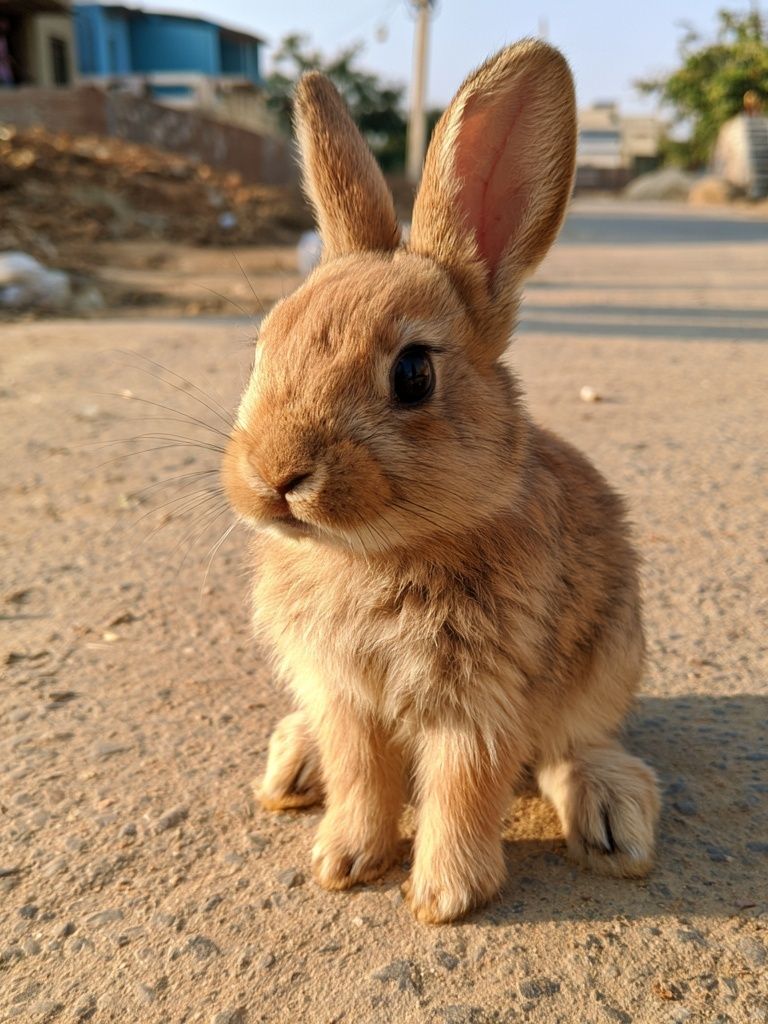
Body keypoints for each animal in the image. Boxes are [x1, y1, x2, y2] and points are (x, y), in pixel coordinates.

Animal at [222, 39, 660, 924]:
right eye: (263, 344)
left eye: (414, 374)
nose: (274, 476)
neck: (373, 553)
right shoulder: (345, 694)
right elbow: (362, 774)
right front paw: (346, 860)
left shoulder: (481, 700)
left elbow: (464, 786)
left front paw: (443, 897)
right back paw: (295, 765)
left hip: (609, 661)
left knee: (575, 747)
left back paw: (611, 815)